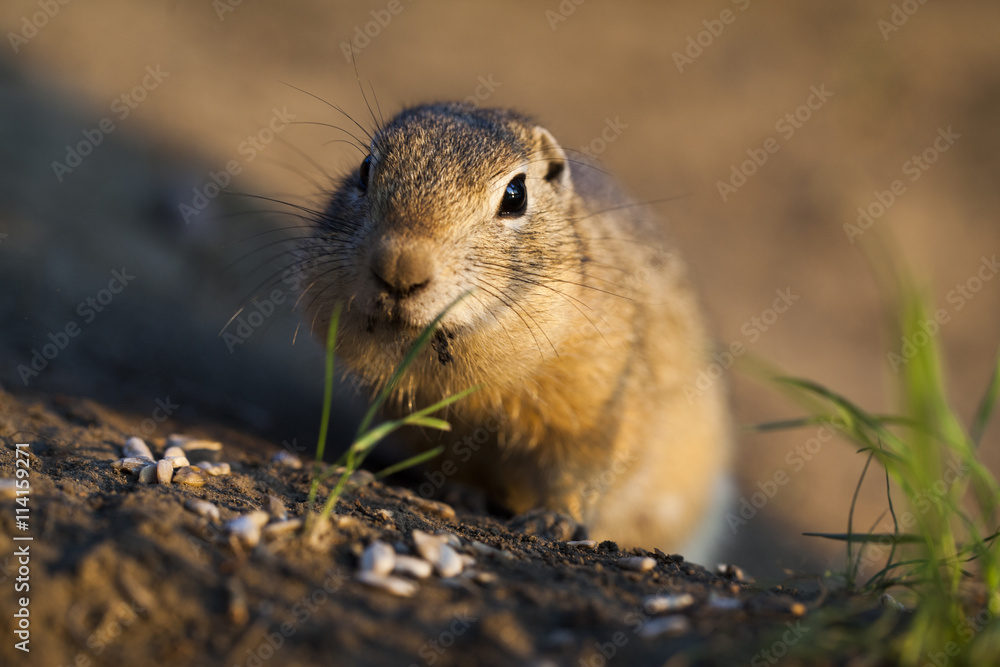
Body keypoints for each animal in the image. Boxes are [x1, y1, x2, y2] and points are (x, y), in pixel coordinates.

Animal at [300, 103, 732, 564]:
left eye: (515, 194)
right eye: (365, 168)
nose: (400, 268)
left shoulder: (603, 406)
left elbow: (582, 472)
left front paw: (552, 521)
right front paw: (461, 494)